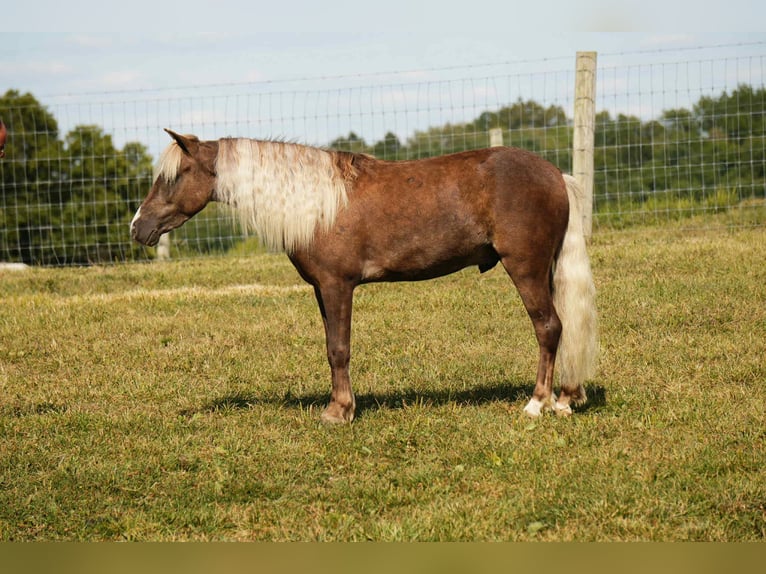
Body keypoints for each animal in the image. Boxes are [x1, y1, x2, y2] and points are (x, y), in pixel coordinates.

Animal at [131, 129, 598, 423]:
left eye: (174, 176)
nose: (138, 227)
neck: (319, 204)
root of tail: (555, 174)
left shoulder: (338, 286)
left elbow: (339, 348)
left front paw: (338, 412)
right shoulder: (322, 291)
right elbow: (330, 348)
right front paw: (341, 405)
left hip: (526, 268)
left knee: (548, 327)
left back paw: (538, 404)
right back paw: (566, 398)